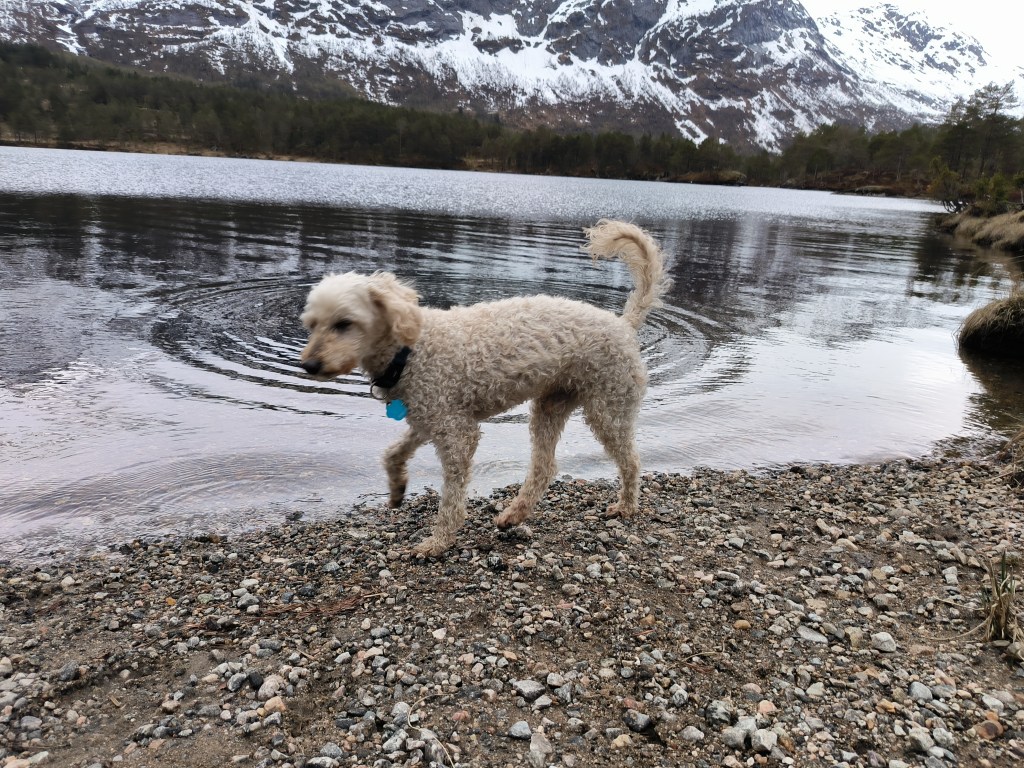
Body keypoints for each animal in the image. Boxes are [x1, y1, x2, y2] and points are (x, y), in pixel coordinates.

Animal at [299, 219, 670, 556]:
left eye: (344, 323)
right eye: (312, 324)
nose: (309, 365)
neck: (411, 349)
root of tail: (623, 324)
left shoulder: (457, 434)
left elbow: (450, 498)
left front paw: (438, 542)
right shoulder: (428, 419)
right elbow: (392, 453)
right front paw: (397, 490)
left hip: (608, 408)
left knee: (630, 461)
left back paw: (625, 506)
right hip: (551, 405)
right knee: (545, 468)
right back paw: (514, 514)